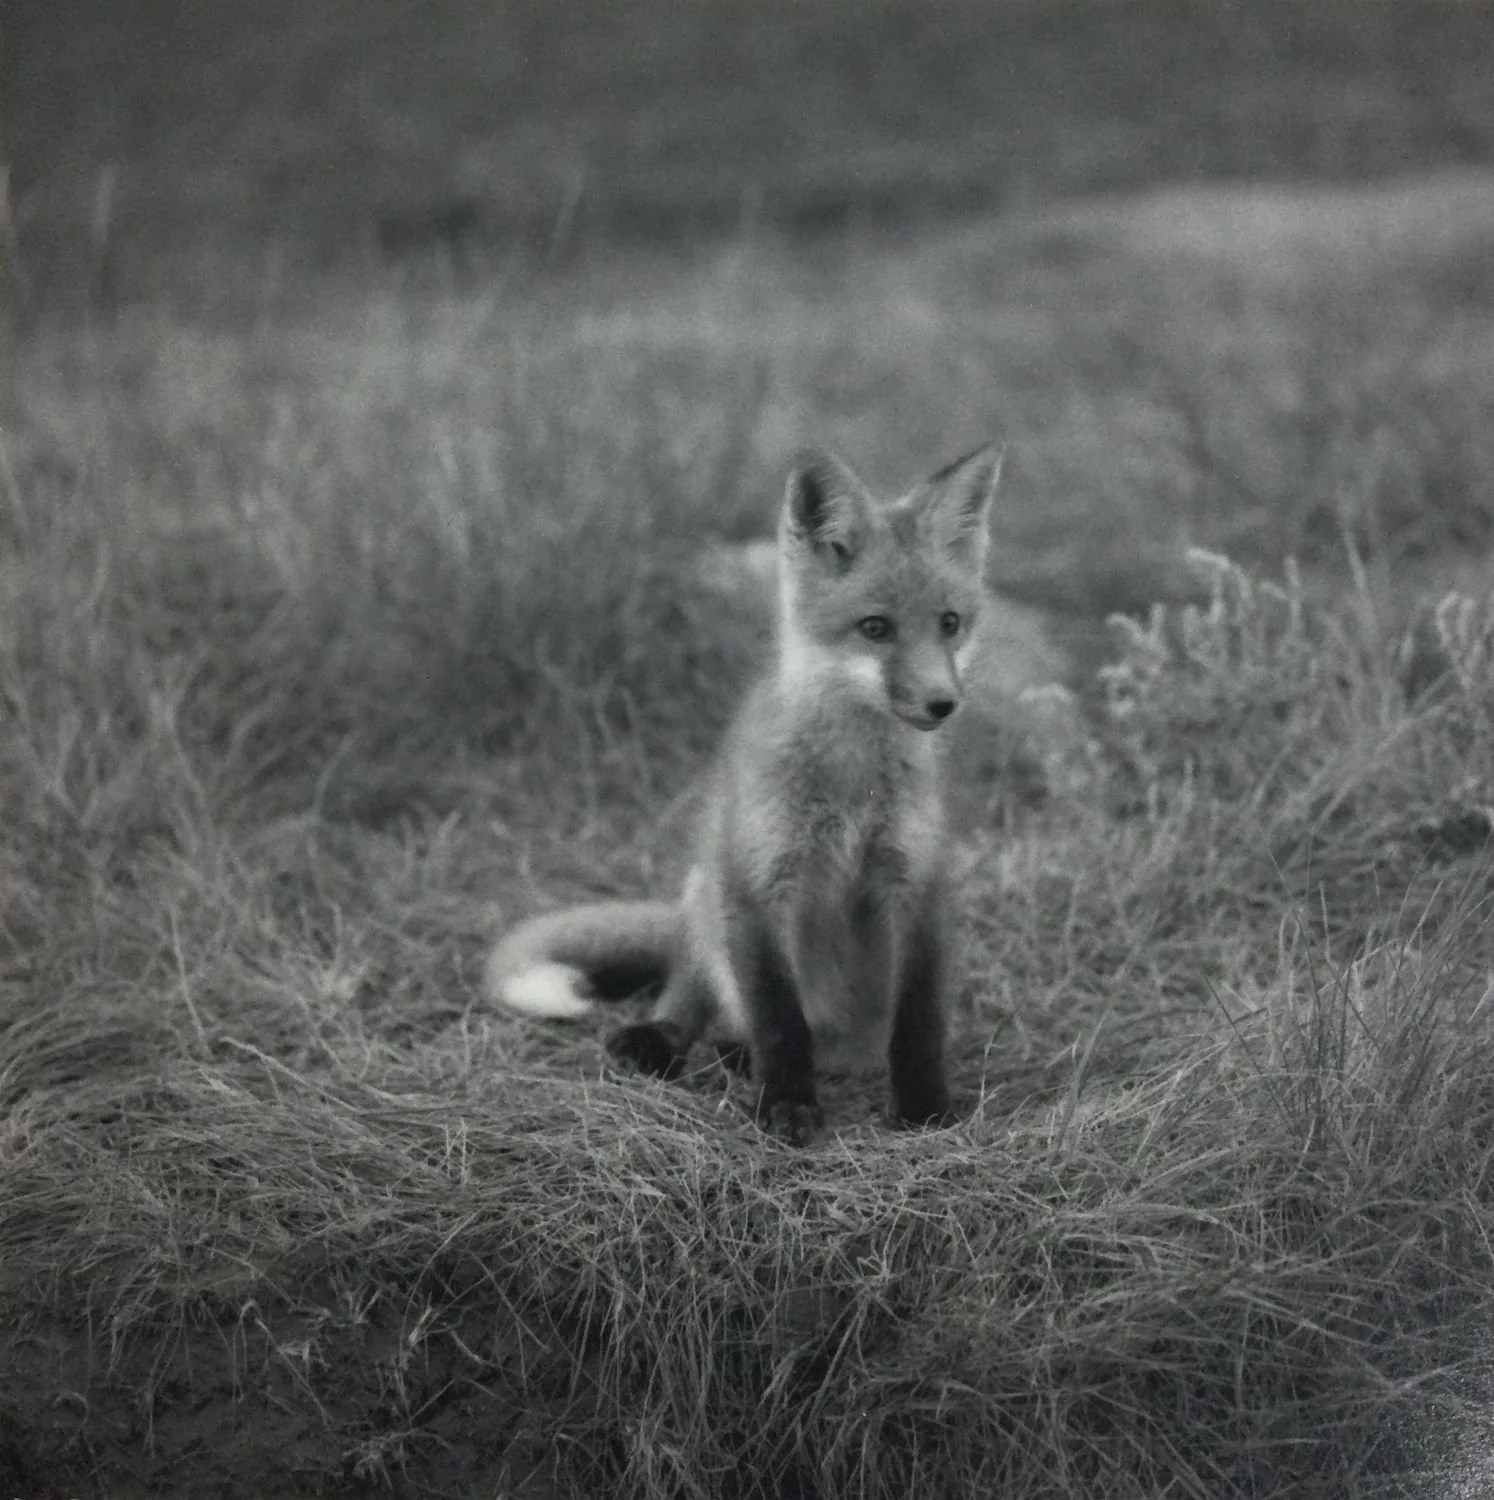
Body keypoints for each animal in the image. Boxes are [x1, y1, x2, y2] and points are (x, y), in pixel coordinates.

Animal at [486, 443, 1002, 1144]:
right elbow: (780, 1022)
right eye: (875, 628)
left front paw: (924, 1108)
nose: (943, 704)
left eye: (950, 623)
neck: (849, 783)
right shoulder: (760, 882)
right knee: (692, 987)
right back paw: (669, 1041)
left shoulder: (917, 881)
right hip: (709, 887)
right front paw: (786, 1106)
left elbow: (918, 1023)